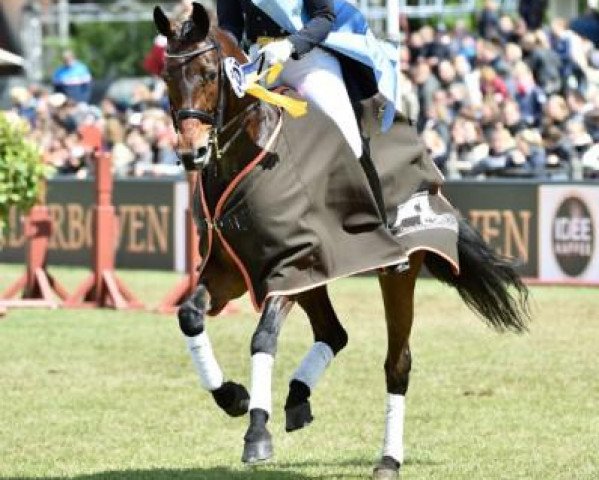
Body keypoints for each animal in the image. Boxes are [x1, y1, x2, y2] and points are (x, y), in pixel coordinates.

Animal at [154, 2, 528, 476]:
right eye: (167, 76)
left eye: (206, 73)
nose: (192, 153)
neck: (253, 151)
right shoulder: (236, 270)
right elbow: (190, 316)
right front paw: (233, 397)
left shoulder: (289, 267)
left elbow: (263, 338)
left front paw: (257, 432)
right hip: (318, 274)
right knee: (335, 334)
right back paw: (298, 398)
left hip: (391, 275)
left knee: (397, 365)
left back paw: (388, 459)